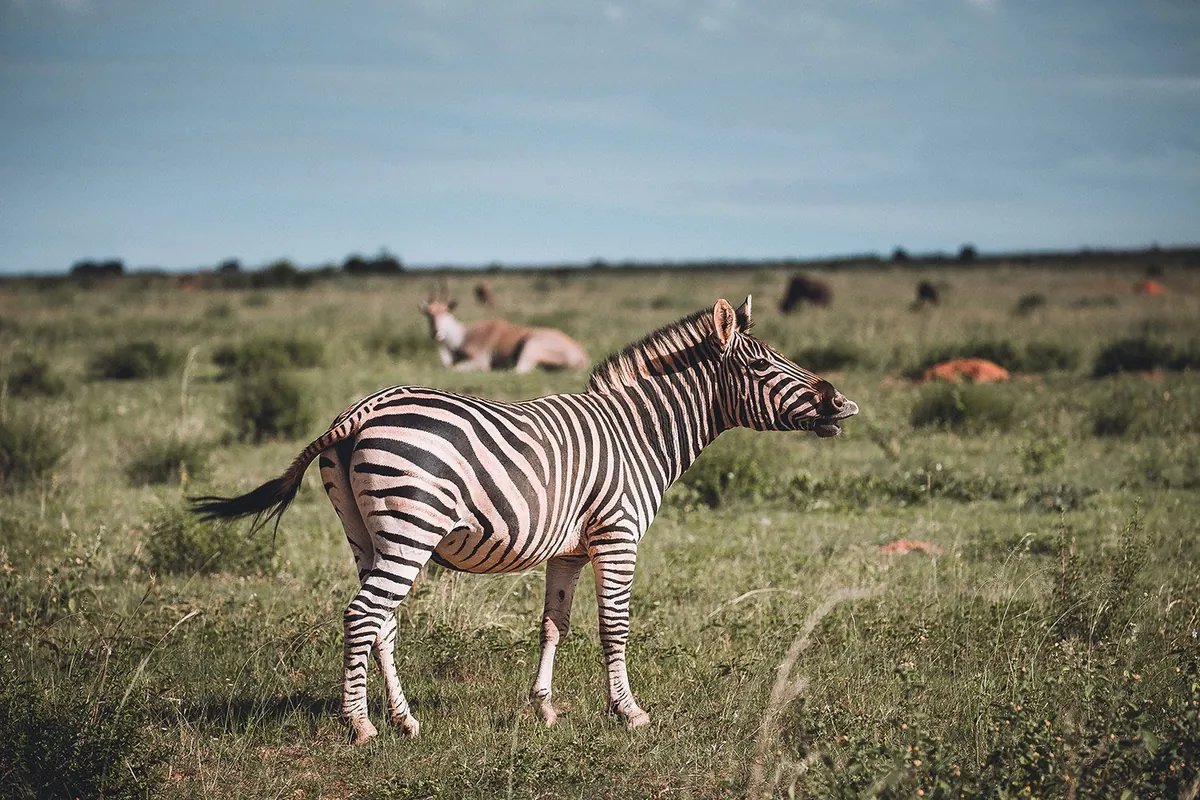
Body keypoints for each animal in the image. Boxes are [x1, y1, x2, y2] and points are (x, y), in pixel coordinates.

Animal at [191, 295, 859, 744]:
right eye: (766, 368)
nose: (843, 404)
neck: (637, 434)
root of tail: (361, 410)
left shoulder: (571, 549)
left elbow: (552, 626)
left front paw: (545, 709)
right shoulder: (617, 536)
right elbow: (614, 626)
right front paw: (629, 713)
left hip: (366, 533)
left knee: (381, 622)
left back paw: (405, 720)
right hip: (409, 529)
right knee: (363, 616)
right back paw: (360, 727)